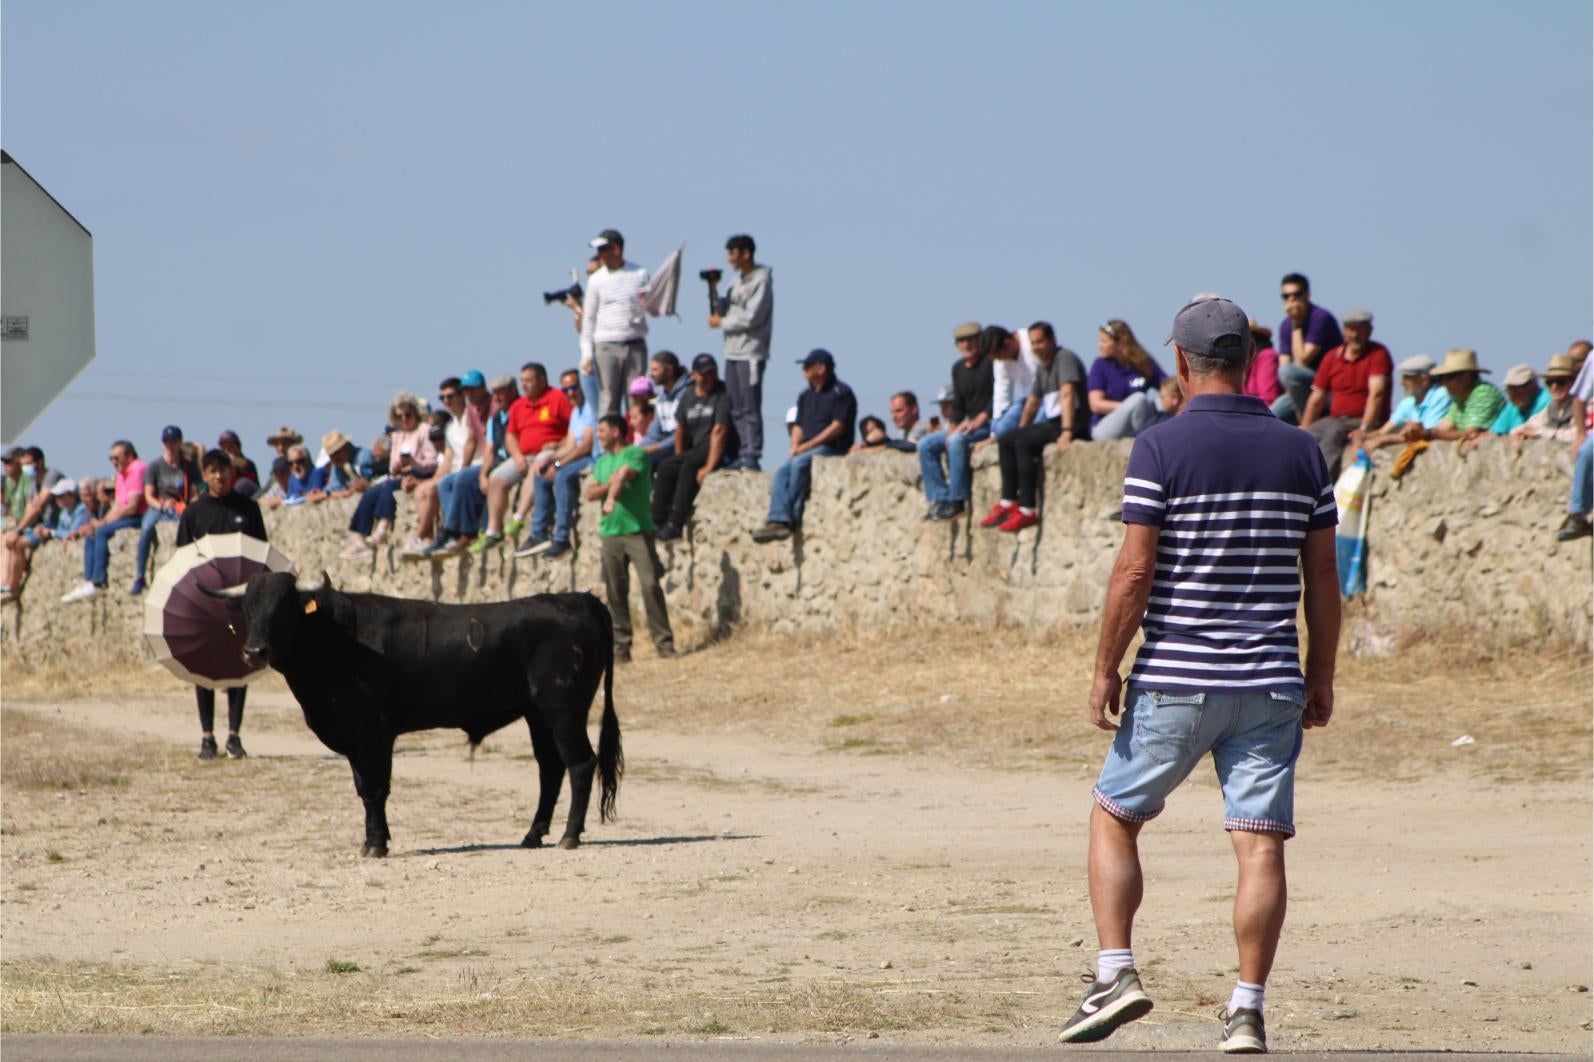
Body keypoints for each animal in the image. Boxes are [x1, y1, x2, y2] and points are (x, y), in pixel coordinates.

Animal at [200, 570, 621, 854]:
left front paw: (376, 845)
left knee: (580, 763)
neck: (338, 639)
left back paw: (569, 836)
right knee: (550, 768)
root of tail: (580, 598)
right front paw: (375, 839)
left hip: (564, 709)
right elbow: (363, 788)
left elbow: (376, 788)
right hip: (537, 715)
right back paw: (532, 835)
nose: (254, 652)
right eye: (248, 609)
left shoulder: (374, 732)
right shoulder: (353, 740)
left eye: (284, 608)